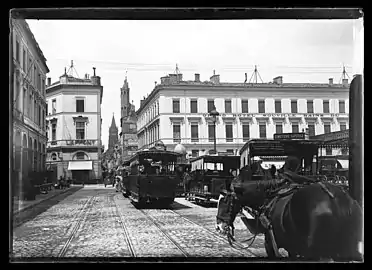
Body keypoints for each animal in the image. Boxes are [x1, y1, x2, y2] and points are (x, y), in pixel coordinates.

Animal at [215, 158, 364, 260]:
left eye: (225, 200)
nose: (219, 226)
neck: (271, 195)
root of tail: (336, 199)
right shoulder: (293, 247)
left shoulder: (271, 245)